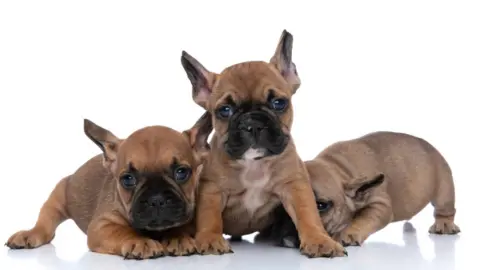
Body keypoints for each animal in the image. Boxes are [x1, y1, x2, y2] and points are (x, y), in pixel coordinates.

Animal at [5, 113, 212, 258]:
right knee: (45, 224)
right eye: (127, 179)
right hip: (57, 197)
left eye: (181, 172)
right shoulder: (101, 225)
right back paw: (29, 234)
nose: (157, 199)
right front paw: (139, 241)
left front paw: (178, 238)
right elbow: (122, 230)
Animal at [179, 29, 344, 258]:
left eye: (278, 103)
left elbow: (308, 214)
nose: (253, 124)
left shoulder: (294, 186)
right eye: (225, 110)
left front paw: (319, 240)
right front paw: (210, 239)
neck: (254, 164)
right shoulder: (212, 190)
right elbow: (209, 217)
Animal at [258, 131, 462, 249]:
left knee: (445, 208)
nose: (285, 235)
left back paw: (444, 225)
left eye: (321, 205)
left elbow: (363, 218)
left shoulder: (380, 204)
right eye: (278, 208)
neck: (339, 168)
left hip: (443, 185)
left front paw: (347, 234)